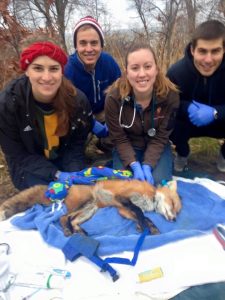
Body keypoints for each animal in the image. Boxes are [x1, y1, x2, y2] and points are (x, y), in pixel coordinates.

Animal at [0, 179, 181, 236]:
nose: (174, 219)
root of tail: (68, 186)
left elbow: (142, 216)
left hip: (89, 210)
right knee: (63, 217)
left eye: (177, 211)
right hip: (84, 204)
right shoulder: (123, 197)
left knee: (72, 220)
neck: (150, 197)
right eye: (172, 204)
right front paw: (144, 225)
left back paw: (79, 231)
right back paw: (68, 231)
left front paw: (146, 226)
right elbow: (140, 213)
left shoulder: (122, 209)